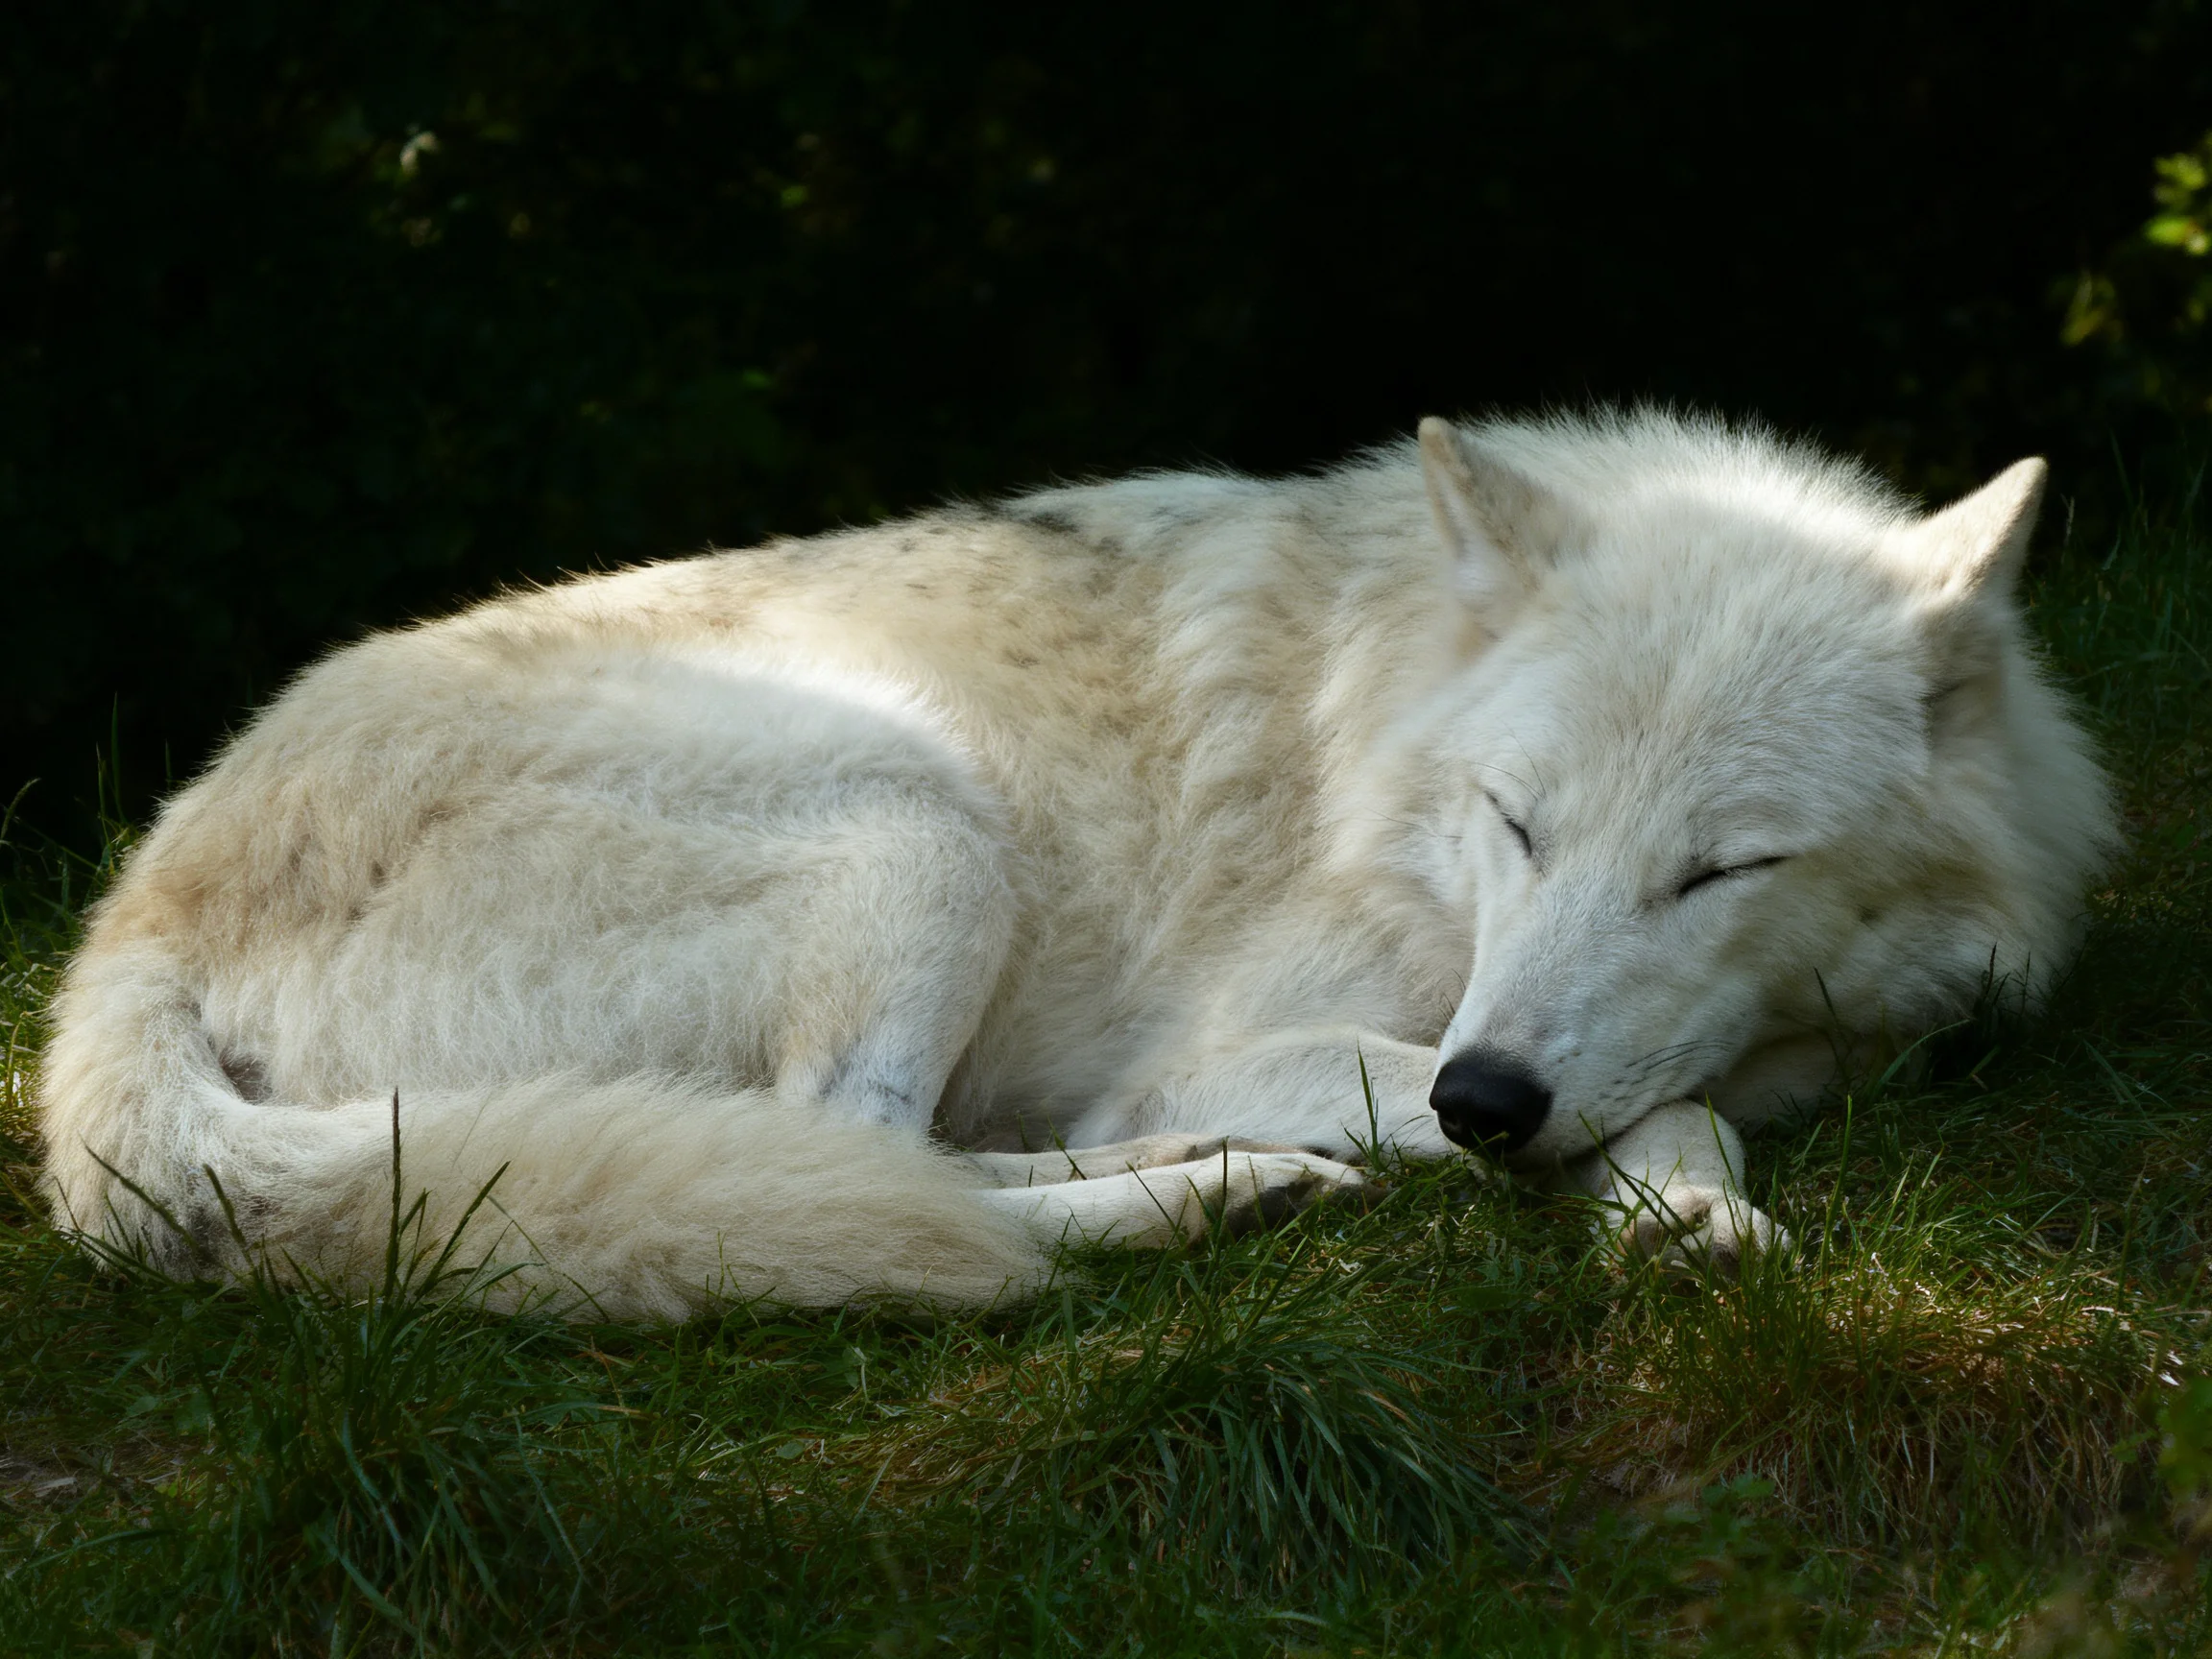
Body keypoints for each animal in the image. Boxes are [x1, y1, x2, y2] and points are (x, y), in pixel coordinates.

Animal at [37, 411, 2113, 1320]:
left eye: (1718, 869)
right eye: (1521, 825)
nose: (1489, 1098)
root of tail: (131, 924)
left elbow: (1651, 1098)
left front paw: (1674, 1209)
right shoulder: (1277, 1025)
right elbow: (1606, 1098)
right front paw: (1642, 1181)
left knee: (881, 1161)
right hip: (912, 812)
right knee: (863, 1168)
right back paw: (1200, 1194)